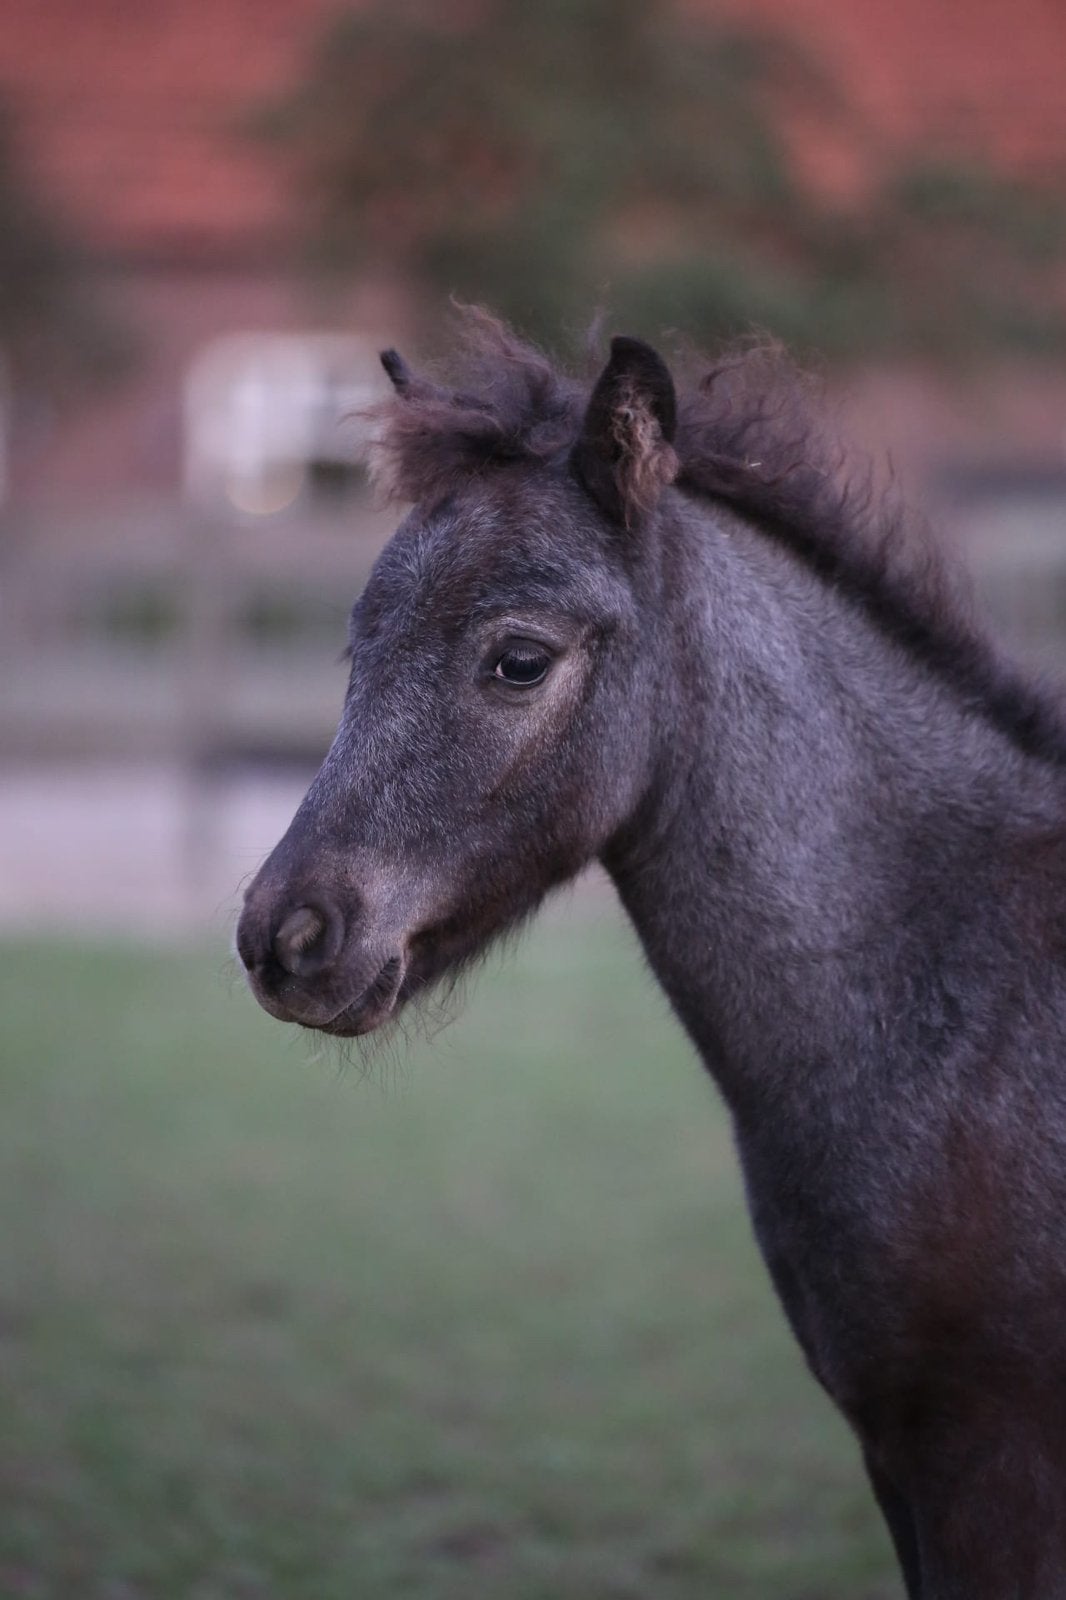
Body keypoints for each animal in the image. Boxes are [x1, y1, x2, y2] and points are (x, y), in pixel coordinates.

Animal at [237, 312, 1066, 1597]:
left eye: (519, 659)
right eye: (354, 647)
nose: (286, 936)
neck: (961, 1004)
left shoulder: (989, 1456)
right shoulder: (901, 1459)